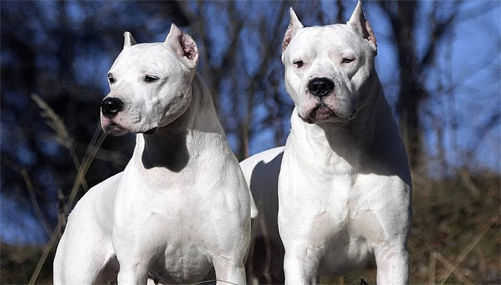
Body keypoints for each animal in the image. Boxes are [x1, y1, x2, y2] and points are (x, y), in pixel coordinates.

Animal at [53, 24, 254, 284]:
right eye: (111, 78)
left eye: (150, 78)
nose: (109, 105)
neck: (174, 165)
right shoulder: (134, 266)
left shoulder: (229, 264)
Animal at [241, 1, 410, 282]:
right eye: (299, 63)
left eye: (348, 59)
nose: (320, 85)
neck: (340, 149)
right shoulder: (302, 255)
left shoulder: (392, 251)